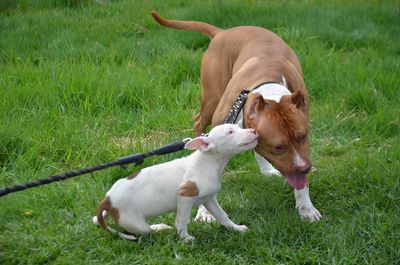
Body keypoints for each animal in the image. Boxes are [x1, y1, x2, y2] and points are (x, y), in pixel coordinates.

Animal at [92, 124, 256, 241]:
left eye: (239, 127)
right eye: (230, 132)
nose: (254, 130)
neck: (209, 163)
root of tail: (107, 199)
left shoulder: (209, 199)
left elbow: (222, 216)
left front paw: (236, 228)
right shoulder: (184, 196)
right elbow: (182, 221)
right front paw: (185, 239)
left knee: (97, 220)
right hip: (134, 222)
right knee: (142, 231)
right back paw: (159, 229)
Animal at [151, 11, 322, 220]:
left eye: (303, 136)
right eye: (278, 147)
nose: (305, 168)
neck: (269, 87)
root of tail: (222, 32)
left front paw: (306, 206)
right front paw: (205, 212)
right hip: (211, 98)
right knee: (198, 122)